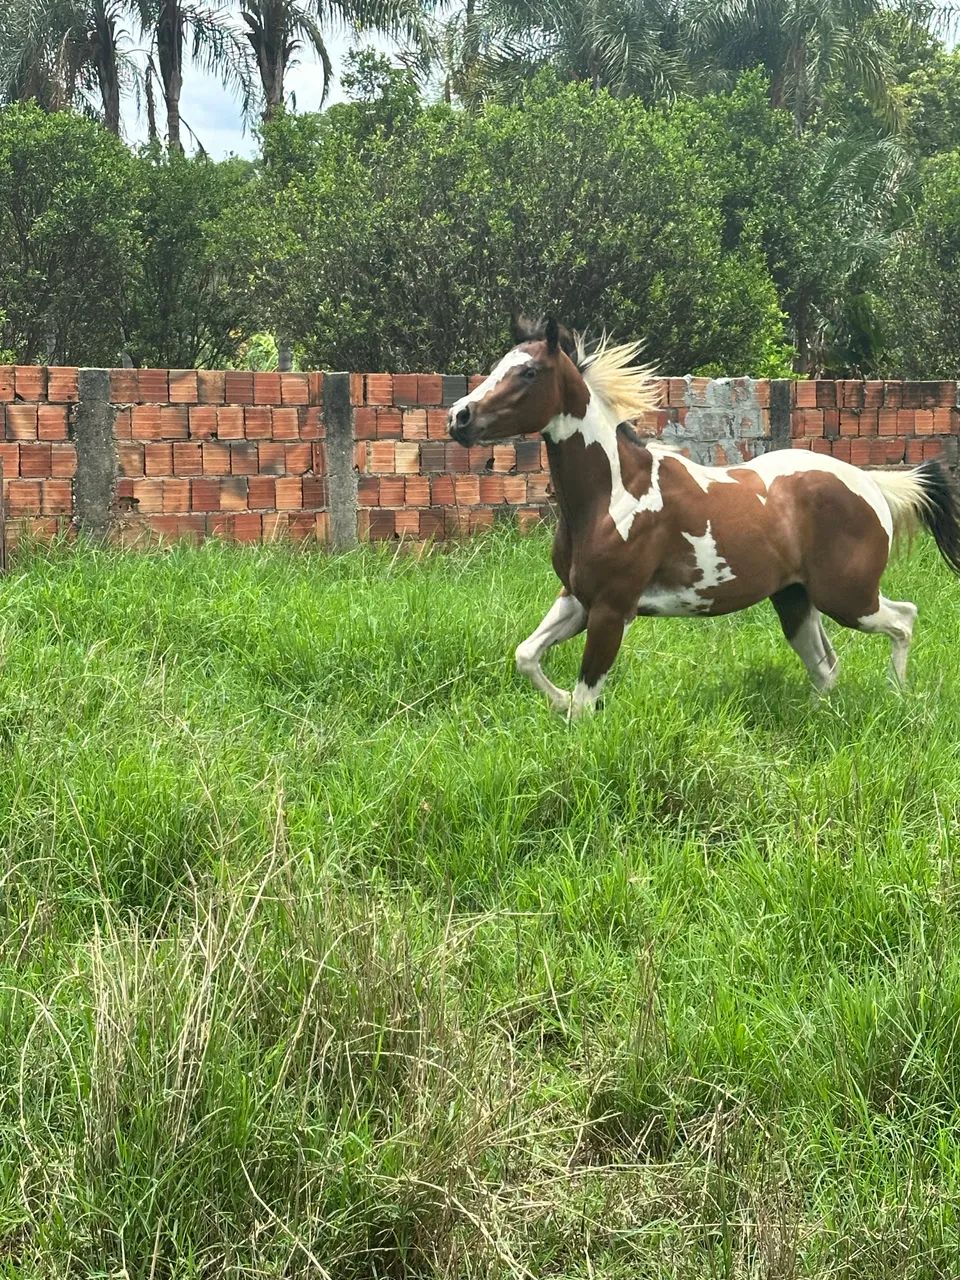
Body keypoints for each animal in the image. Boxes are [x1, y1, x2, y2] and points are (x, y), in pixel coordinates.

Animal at [447, 315, 960, 719]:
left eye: (528, 372)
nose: (458, 417)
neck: (611, 498)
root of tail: (874, 485)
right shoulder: (576, 599)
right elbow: (526, 656)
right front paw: (555, 702)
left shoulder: (613, 609)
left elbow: (585, 700)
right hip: (796, 600)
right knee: (827, 667)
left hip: (848, 598)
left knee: (904, 620)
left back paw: (899, 696)